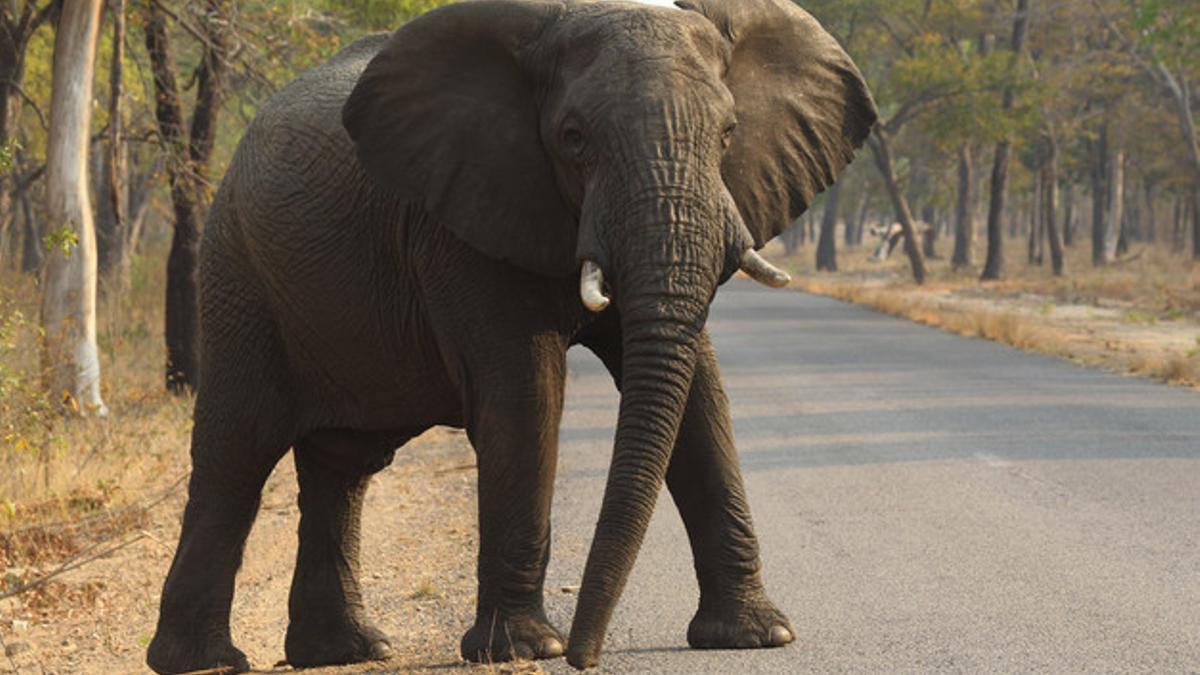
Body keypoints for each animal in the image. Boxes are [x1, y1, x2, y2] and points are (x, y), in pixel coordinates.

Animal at [147, 1, 883, 667]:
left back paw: (347, 651)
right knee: (237, 452)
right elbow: (526, 396)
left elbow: (701, 392)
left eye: (729, 133)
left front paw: (757, 636)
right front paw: (526, 649)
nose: (588, 656)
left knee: (342, 466)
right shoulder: (461, 222)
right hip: (238, 273)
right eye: (573, 138)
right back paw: (208, 661)